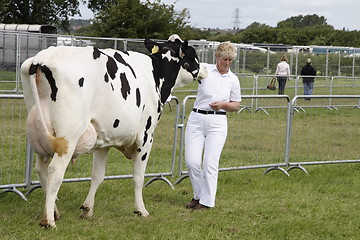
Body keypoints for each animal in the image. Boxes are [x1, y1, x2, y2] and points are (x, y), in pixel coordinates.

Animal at [21, 34, 207, 228]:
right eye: (192, 54)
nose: (204, 69)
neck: (156, 73)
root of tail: (39, 59)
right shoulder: (146, 137)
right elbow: (138, 177)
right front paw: (141, 210)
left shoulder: (104, 141)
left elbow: (97, 175)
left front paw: (87, 209)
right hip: (68, 136)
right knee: (55, 171)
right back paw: (49, 220)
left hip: (40, 134)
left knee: (41, 169)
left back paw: (55, 212)